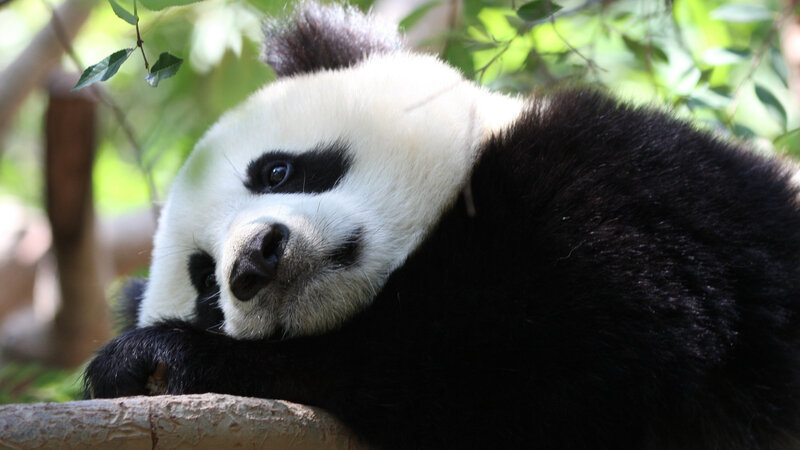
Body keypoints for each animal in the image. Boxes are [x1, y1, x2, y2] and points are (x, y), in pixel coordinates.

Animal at [85, 2, 800, 449]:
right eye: (207, 285)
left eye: (278, 171)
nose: (257, 258)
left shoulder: (629, 186)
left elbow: (552, 342)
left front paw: (166, 357)